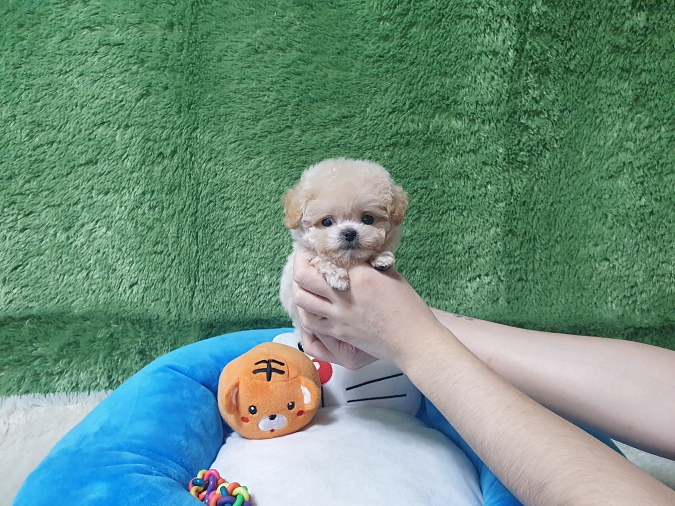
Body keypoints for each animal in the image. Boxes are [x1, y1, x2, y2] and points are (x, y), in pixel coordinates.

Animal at [279, 158, 408, 329]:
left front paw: (382, 257)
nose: (349, 233)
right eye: (327, 222)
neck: (348, 261)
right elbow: (318, 258)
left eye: (368, 219)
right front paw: (336, 275)